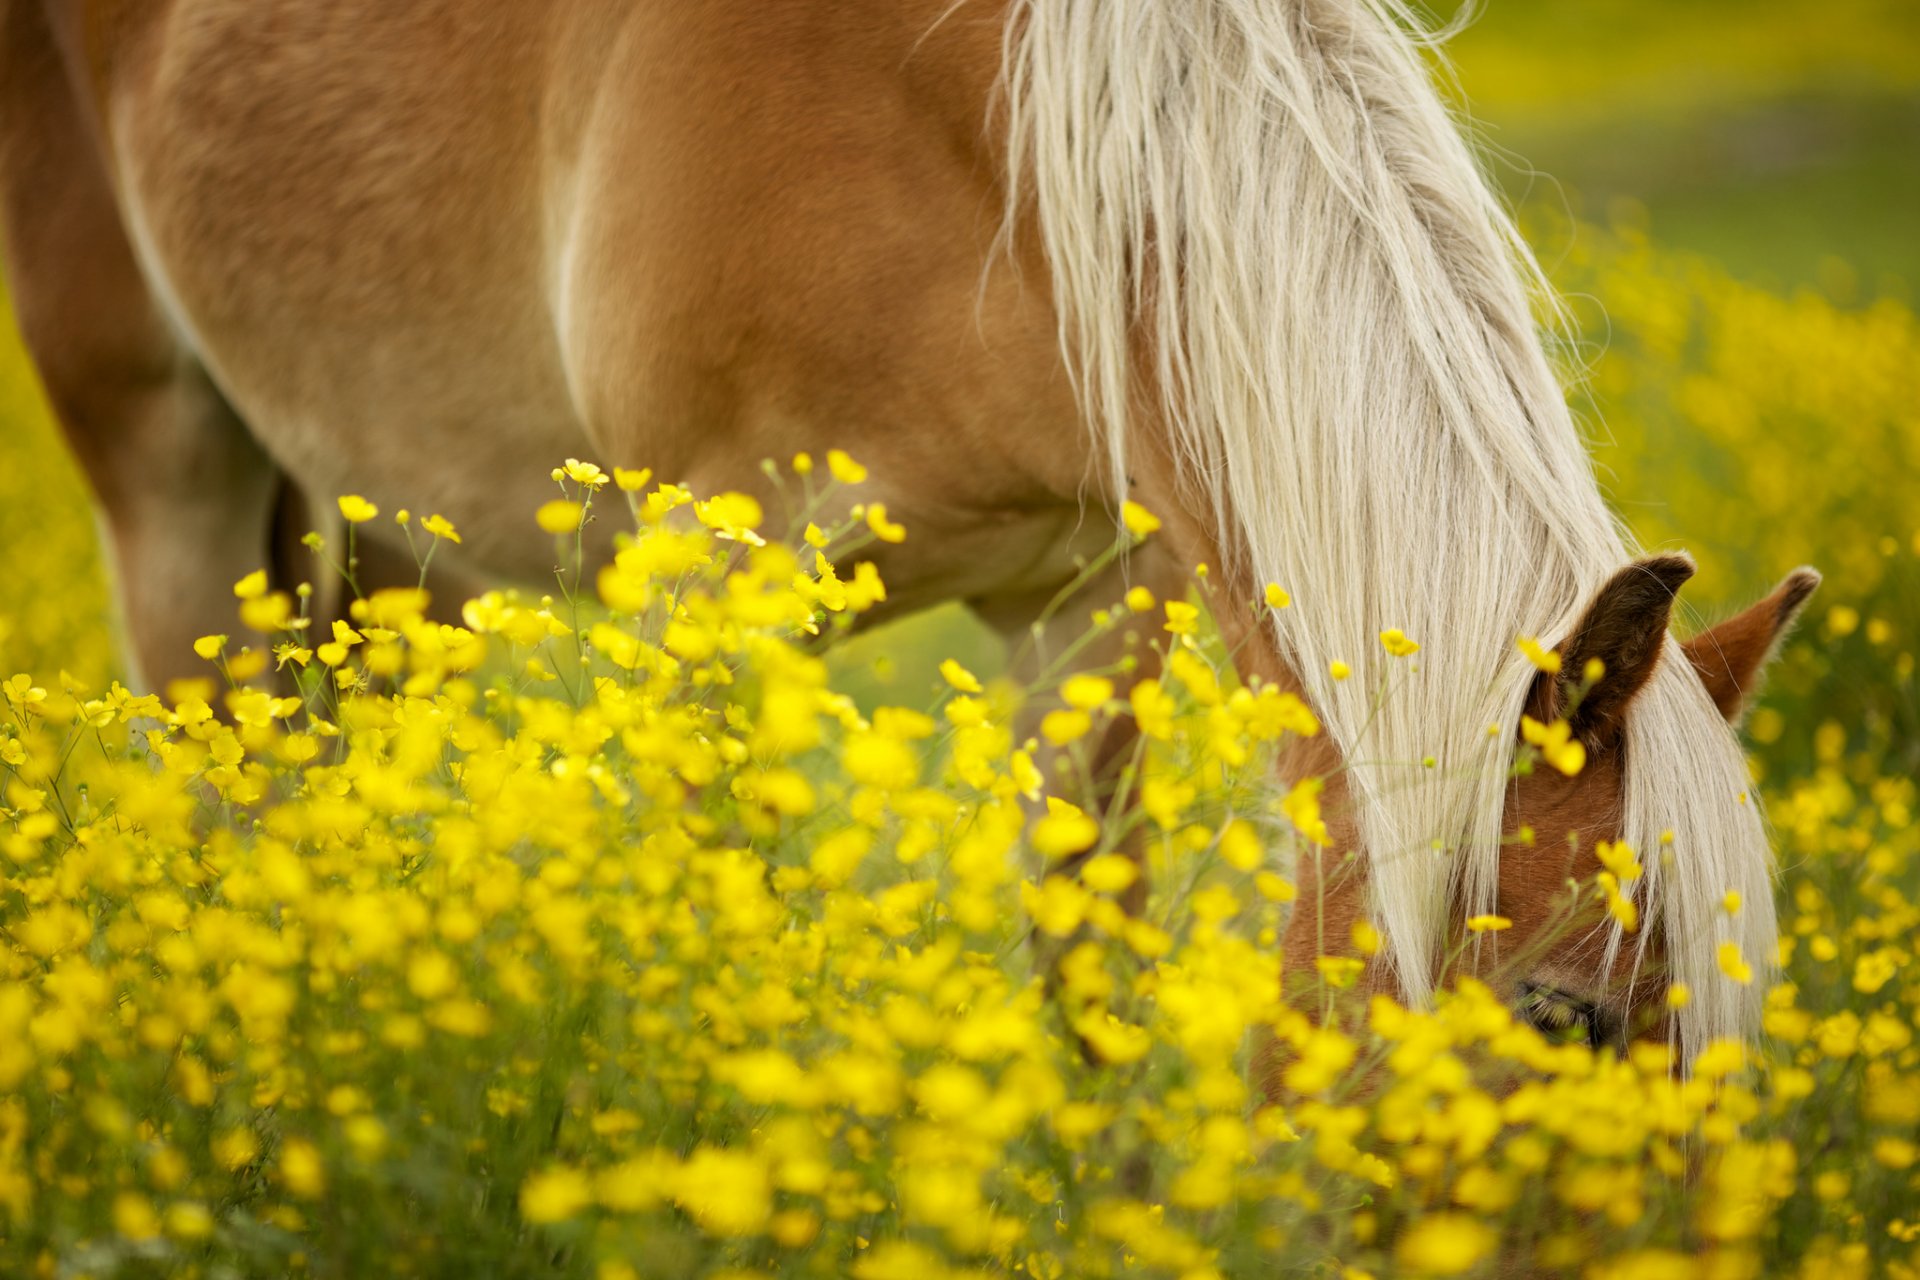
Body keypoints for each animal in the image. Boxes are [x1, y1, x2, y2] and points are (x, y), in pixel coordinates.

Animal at [0, 0, 1813, 1063]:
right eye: (1570, 1019)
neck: (981, 135)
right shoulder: (709, 601)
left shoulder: (1090, 612)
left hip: (390, 519)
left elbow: (1085, 997)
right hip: (166, 466)